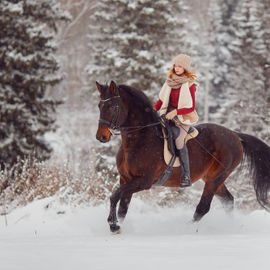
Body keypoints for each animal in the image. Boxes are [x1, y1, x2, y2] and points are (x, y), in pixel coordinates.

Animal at [96, 79, 270, 232]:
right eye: (99, 105)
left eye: (113, 106)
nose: (101, 137)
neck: (139, 138)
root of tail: (236, 135)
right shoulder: (125, 178)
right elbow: (122, 207)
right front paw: (119, 226)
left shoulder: (143, 181)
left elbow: (114, 196)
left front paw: (113, 225)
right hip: (212, 178)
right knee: (228, 200)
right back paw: (230, 227)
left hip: (216, 178)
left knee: (203, 207)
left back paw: (184, 229)